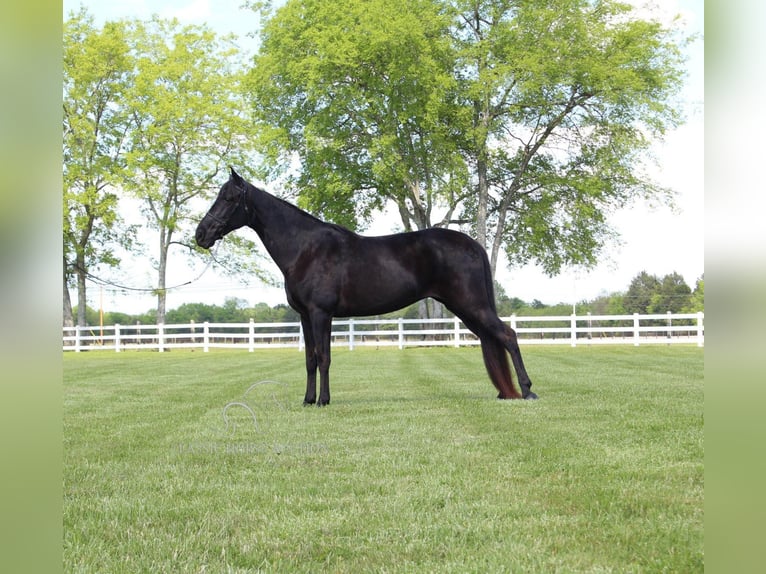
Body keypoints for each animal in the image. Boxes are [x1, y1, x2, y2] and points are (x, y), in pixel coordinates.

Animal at [195, 169, 536, 408]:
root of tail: (472, 244)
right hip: (465, 309)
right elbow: (309, 359)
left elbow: (323, 357)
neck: (305, 248)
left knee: (508, 335)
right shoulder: (305, 316)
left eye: (228, 199)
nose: (201, 234)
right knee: (494, 338)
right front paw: (307, 400)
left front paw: (323, 401)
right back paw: (506, 392)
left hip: (472, 305)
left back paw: (527, 390)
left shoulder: (321, 313)